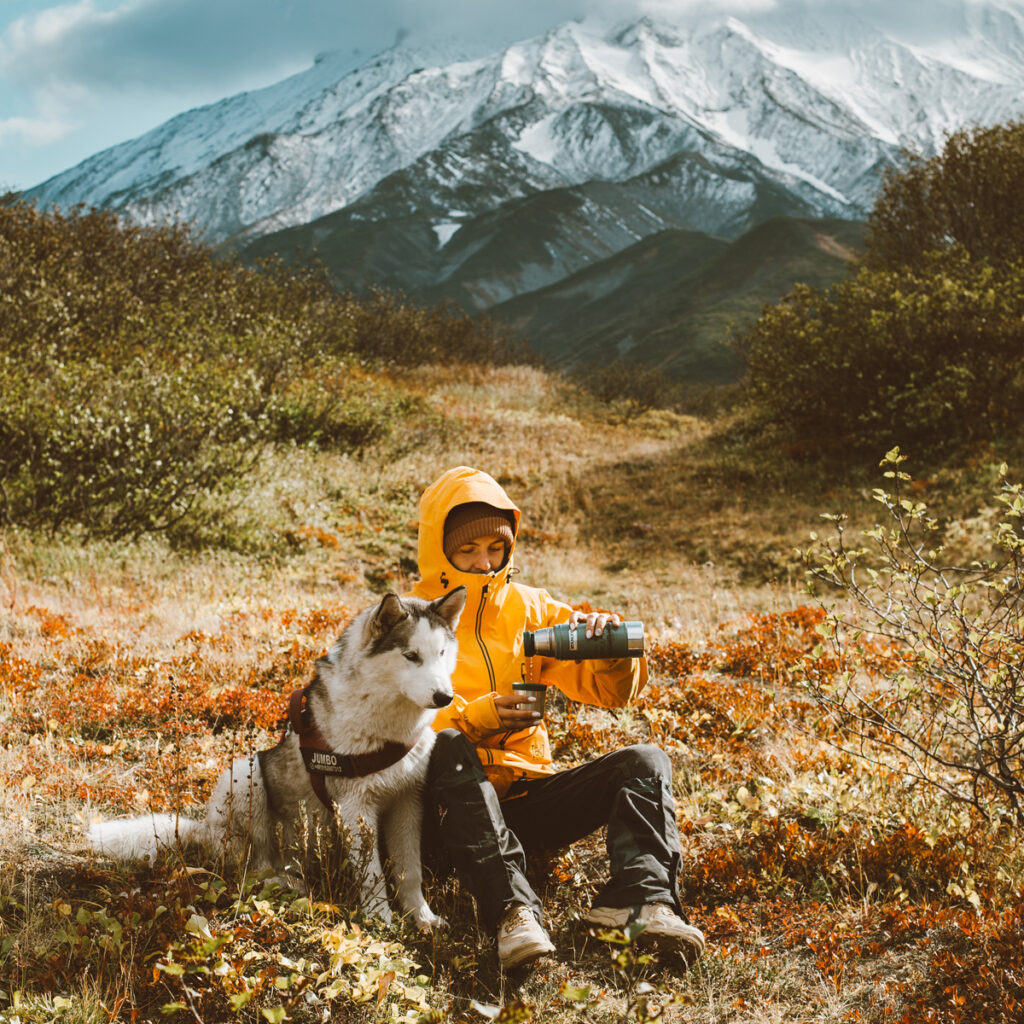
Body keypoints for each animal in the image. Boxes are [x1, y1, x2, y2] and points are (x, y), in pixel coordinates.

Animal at [90, 585, 466, 929]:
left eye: (441, 653)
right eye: (411, 655)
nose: (445, 697)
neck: (389, 727)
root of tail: (206, 829)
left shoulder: (407, 800)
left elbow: (410, 871)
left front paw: (423, 917)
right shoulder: (356, 806)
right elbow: (372, 875)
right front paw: (381, 921)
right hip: (244, 774)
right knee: (255, 867)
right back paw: (285, 882)